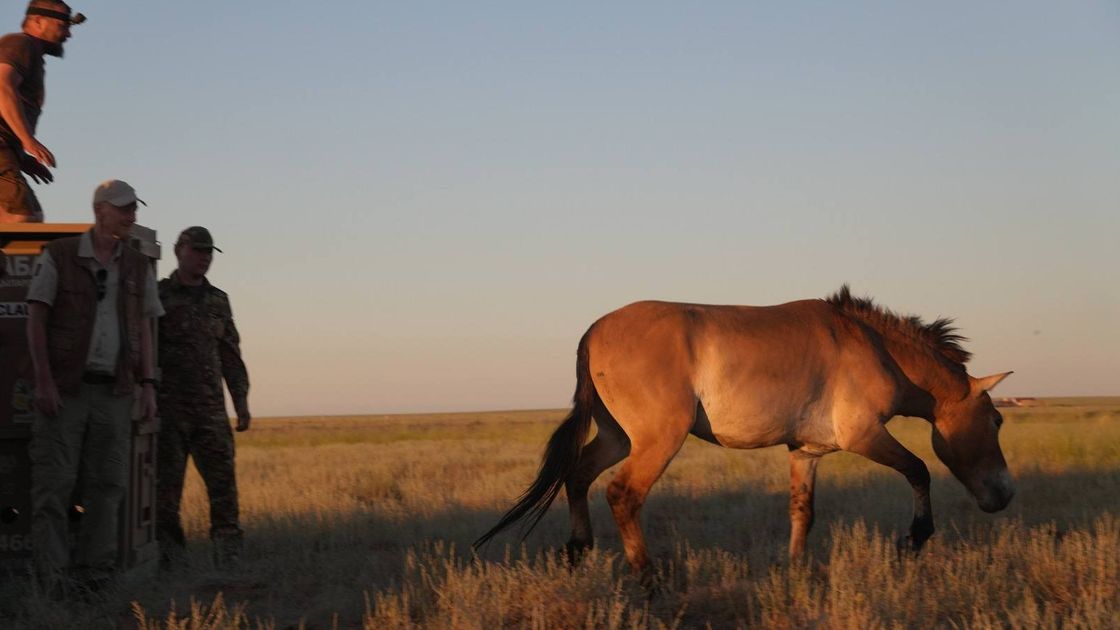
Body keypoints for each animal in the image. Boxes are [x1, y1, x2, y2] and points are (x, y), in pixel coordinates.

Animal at [475, 286, 1014, 577]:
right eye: (997, 420)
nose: (1005, 495)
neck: (872, 345)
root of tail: (594, 330)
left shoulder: (805, 452)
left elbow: (802, 511)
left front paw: (795, 570)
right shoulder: (864, 435)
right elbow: (919, 470)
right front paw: (914, 539)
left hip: (616, 437)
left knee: (578, 477)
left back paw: (577, 550)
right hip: (655, 441)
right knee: (623, 494)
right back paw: (647, 577)